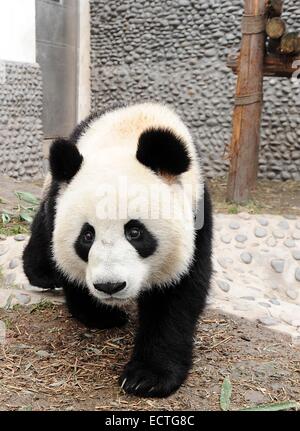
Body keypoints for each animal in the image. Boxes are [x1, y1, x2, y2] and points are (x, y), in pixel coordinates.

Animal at [22, 102, 213, 398]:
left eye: (134, 232)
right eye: (87, 235)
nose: (109, 286)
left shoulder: (197, 215)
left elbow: (177, 295)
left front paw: (148, 377)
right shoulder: (61, 201)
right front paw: (100, 316)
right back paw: (42, 274)